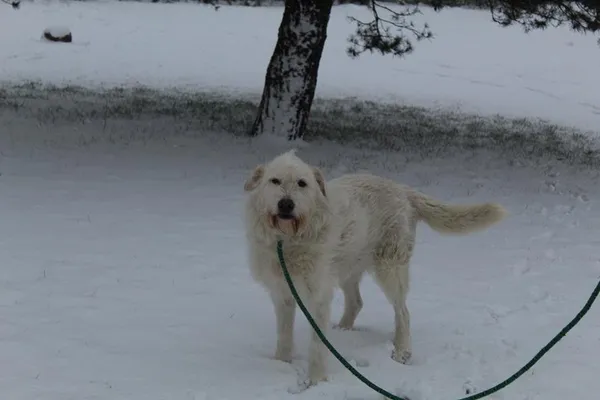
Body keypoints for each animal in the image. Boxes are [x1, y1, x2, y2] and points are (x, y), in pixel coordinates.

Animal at [241, 150, 504, 388]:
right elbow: (284, 336)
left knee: (403, 313)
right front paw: (280, 364)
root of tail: (403, 190)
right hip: (348, 268)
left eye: (302, 183)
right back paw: (344, 330)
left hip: (390, 270)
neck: (287, 241)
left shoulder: (318, 298)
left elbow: (317, 345)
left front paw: (315, 381)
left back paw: (402, 351)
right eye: (274, 181)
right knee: (357, 302)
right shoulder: (282, 295)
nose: (286, 204)